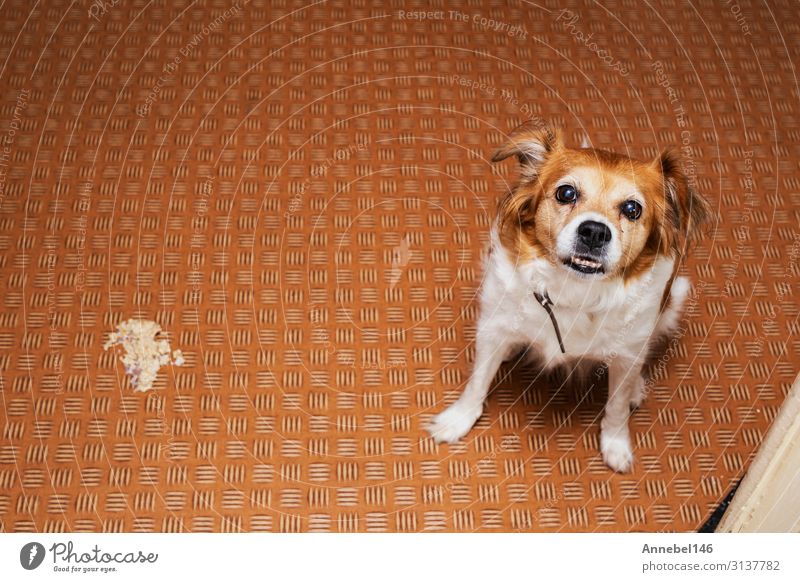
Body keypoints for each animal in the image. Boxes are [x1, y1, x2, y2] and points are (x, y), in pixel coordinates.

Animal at [428, 125, 708, 472]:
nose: (595, 232)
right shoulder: (494, 325)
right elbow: (477, 380)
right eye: (566, 193)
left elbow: (616, 407)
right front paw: (458, 419)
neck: (574, 290)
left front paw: (616, 445)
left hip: (672, 301)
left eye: (632, 209)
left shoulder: (628, 351)